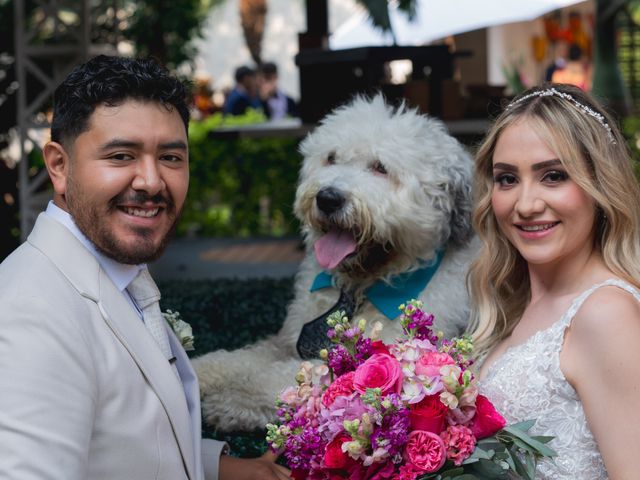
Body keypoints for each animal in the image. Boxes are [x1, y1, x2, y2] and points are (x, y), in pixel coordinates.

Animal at [192, 95, 478, 434]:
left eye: (380, 168)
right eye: (331, 158)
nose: (328, 198)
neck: (359, 287)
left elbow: (290, 376)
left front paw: (237, 398)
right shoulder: (282, 343)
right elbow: (236, 359)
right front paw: (193, 370)